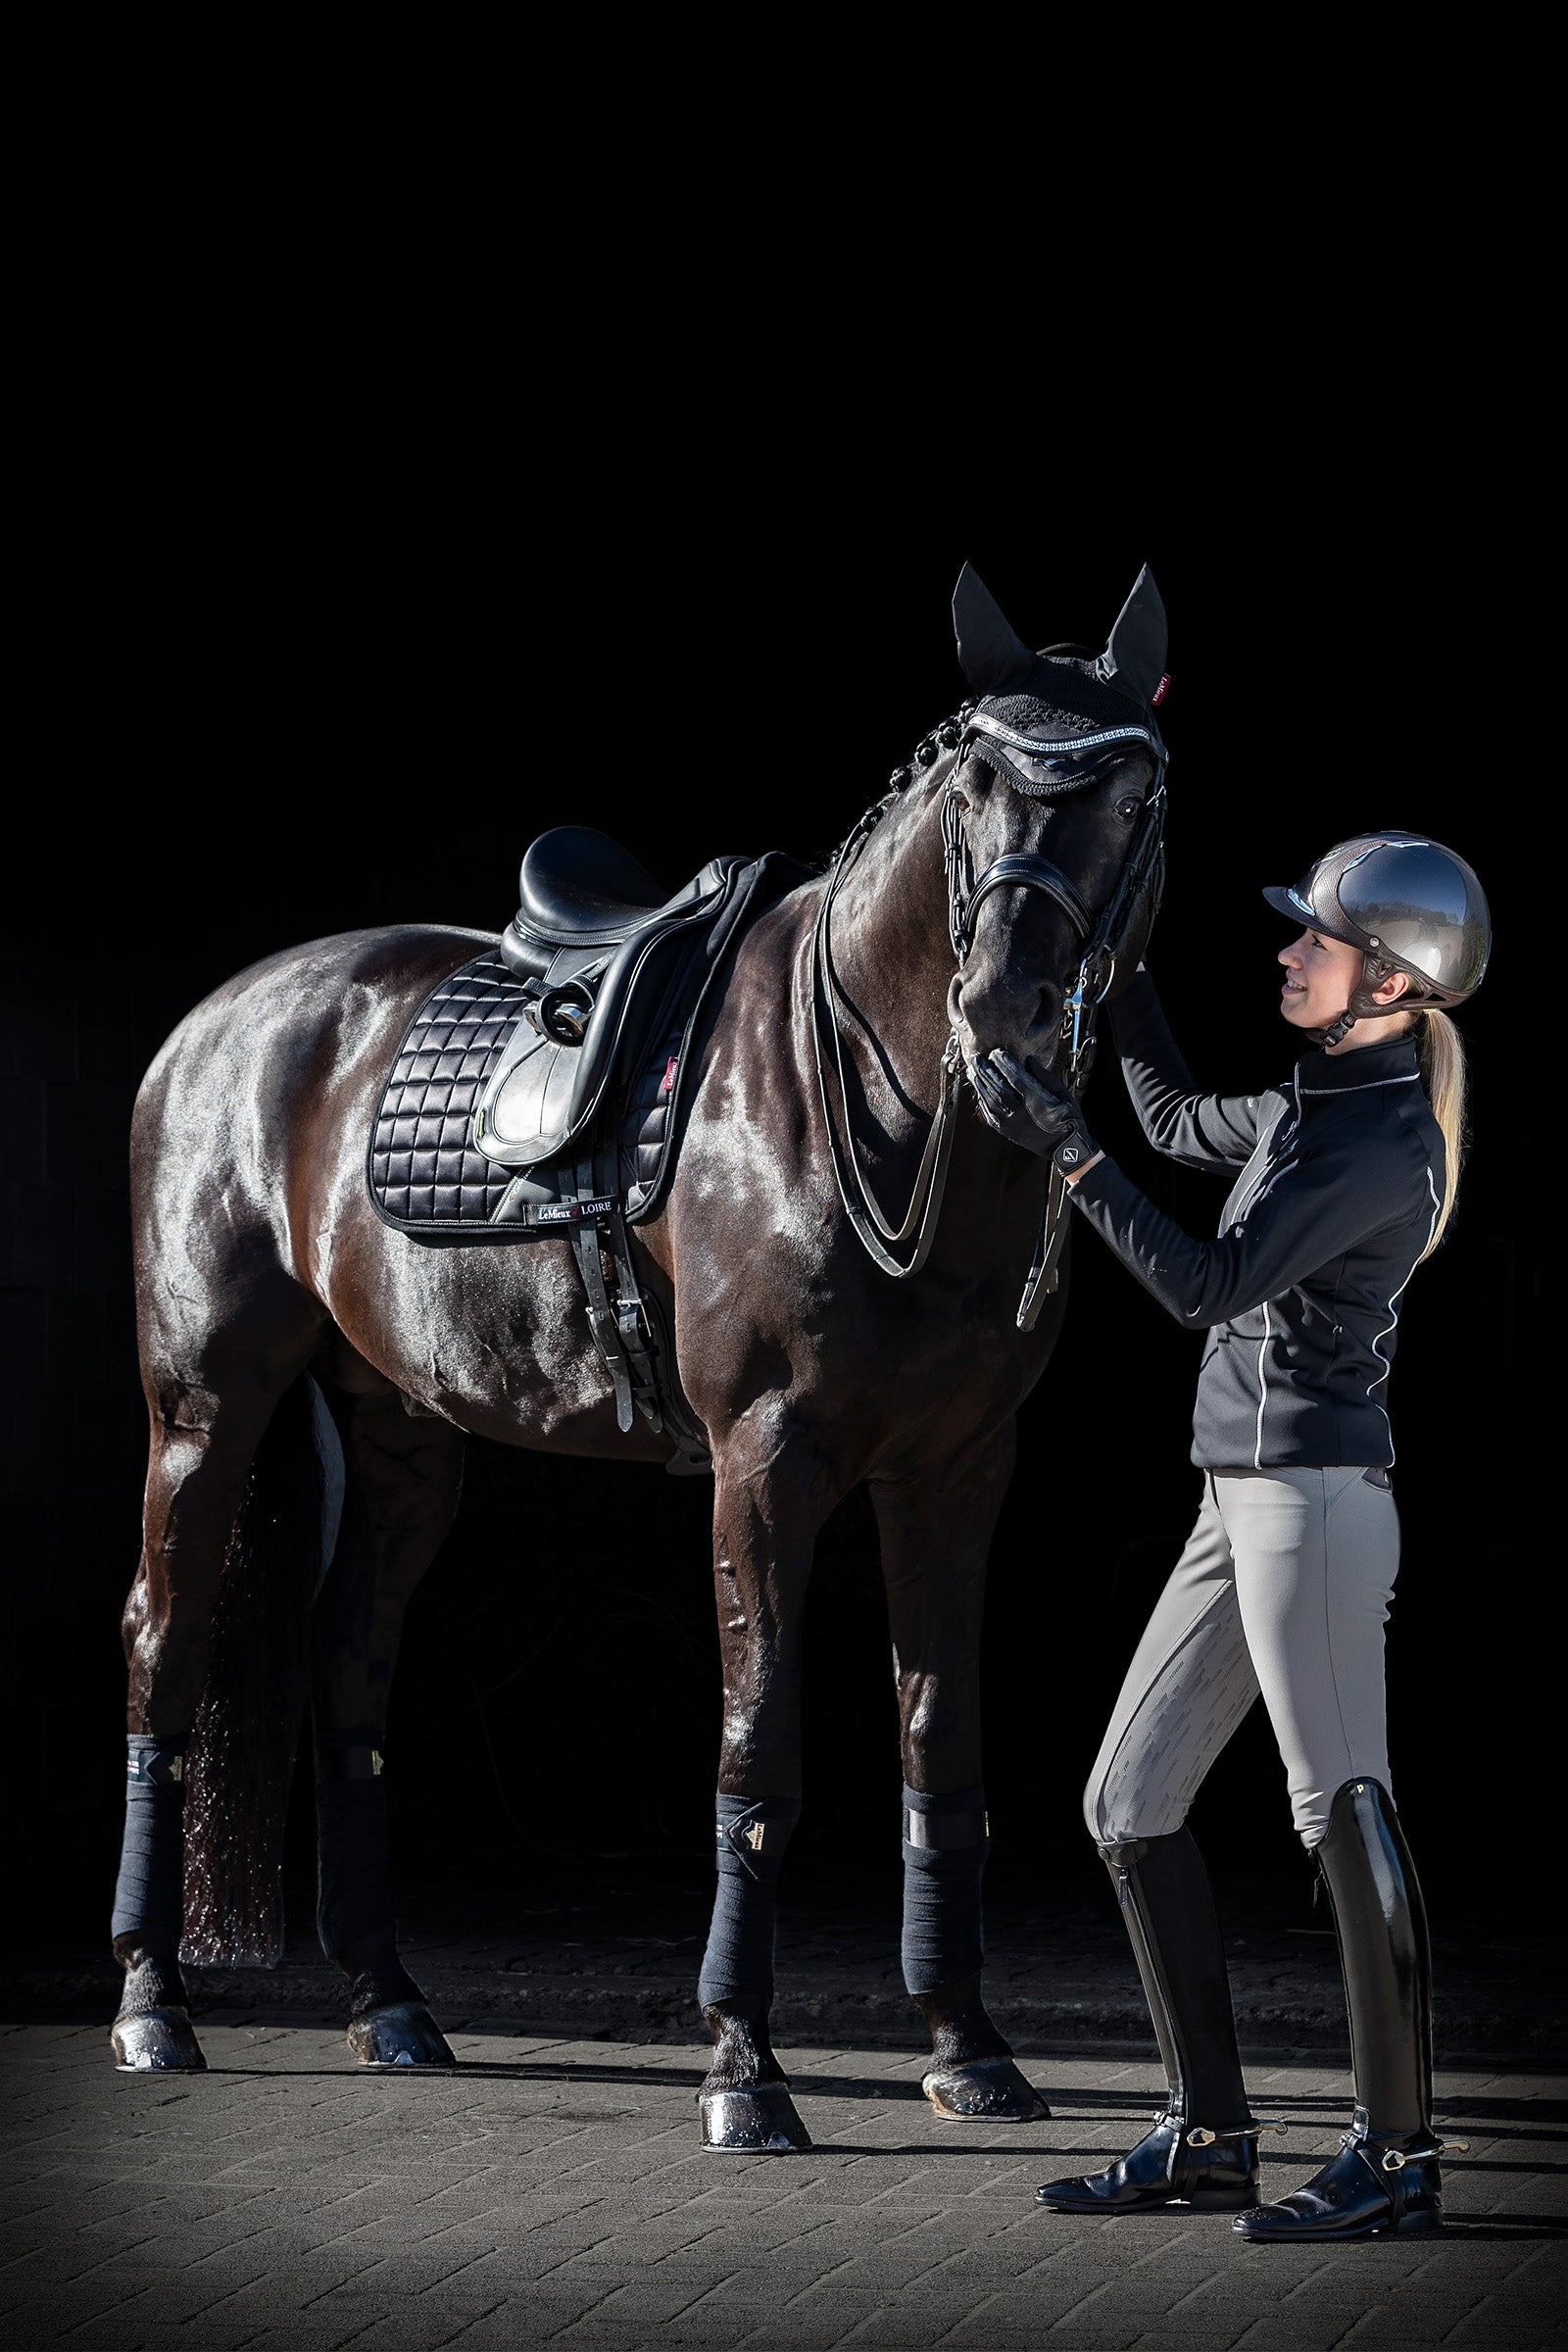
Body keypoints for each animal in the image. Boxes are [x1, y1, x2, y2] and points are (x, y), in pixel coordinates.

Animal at [109, 563, 1171, 2152]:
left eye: (1133, 789)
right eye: (979, 779)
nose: (1007, 1012)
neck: (871, 1102)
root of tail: (214, 1021)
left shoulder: (957, 1471)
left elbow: (943, 1749)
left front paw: (969, 2047)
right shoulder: (765, 1458)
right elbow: (758, 1753)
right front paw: (744, 2065)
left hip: (404, 1431)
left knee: (351, 1658)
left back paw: (389, 2002)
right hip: (205, 1409)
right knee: (161, 1650)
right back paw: (150, 2003)